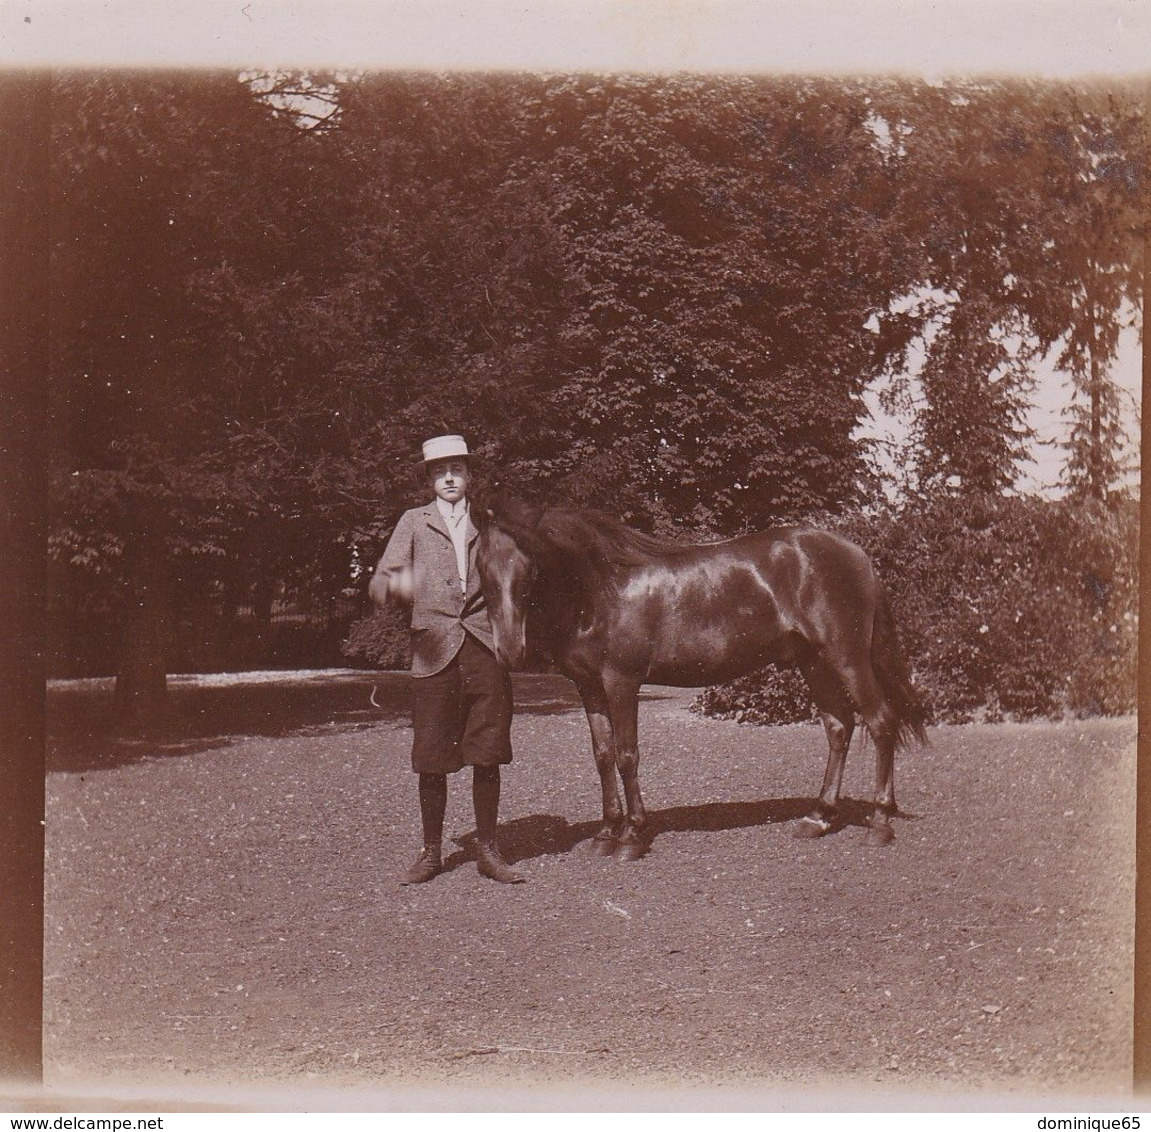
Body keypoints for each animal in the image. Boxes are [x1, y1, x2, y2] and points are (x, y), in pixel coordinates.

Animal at [474, 495, 925, 856]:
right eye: (481, 565)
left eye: (529, 565)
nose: (509, 650)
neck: (602, 589)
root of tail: (856, 554)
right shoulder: (589, 688)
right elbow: (602, 757)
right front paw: (605, 834)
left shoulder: (622, 683)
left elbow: (626, 756)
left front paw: (632, 838)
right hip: (813, 662)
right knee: (838, 726)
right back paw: (818, 817)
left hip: (846, 658)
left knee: (880, 721)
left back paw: (879, 823)